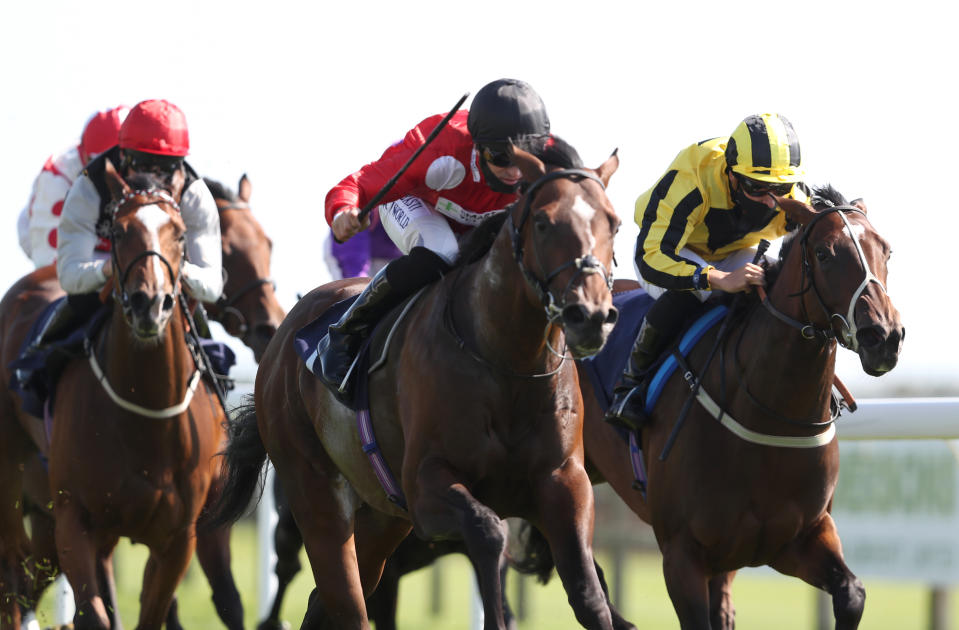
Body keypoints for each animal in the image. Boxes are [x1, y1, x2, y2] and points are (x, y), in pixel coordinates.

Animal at [212, 144, 624, 630]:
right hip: (313, 488)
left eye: (614, 223)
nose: (590, 316)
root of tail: (282, 338)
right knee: (345, 600)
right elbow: (488, 533)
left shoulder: (564, 484)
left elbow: (589, 593)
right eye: (543, 222)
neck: (508, 362)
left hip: (383, 516)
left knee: (325, 601)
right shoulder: (427, 487)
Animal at [576, 185, 908, 628]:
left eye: (885, 250)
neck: (771, 414)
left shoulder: (799, 539)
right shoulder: (682, 555)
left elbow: (852, 593)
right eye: (824, 253)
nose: (884, 336)